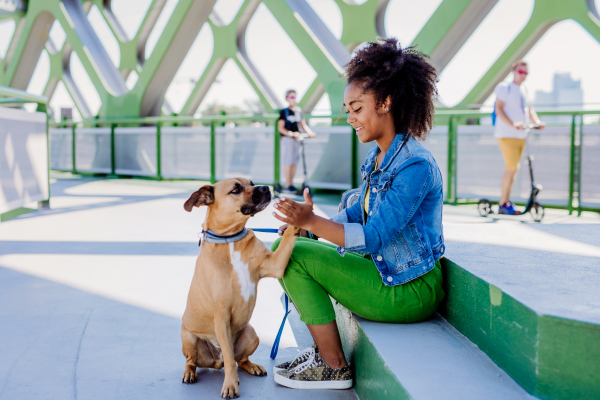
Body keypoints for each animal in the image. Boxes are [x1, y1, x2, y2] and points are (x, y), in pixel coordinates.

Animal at [178, 180, 300, 398]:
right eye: (236, 189)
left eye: (251, 183)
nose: (266, 188)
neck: (230, 240)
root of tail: (215, 362)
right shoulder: (221, 316)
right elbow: (229, 358)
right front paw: (230, 385)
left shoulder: (275, 264)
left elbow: (287, 237)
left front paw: (299, 215)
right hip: (188, 337)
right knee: (195, 361)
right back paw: (189, 373)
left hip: (251, 333)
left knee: (240, 360)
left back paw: (253, 366)